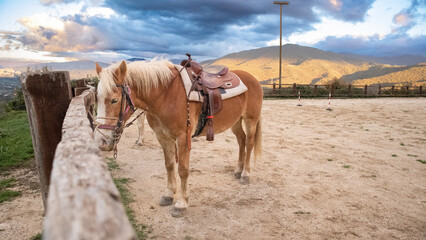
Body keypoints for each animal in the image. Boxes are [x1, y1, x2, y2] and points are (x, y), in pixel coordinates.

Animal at [94, 58, 262, 218]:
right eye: (97, 98)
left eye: (114, 100)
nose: (102, 142)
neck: (166, 94)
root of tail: (253, 79)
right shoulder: (163, 137)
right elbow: (169, 165)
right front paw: (169, 195)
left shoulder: (182, 138)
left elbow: (183, 170)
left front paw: (181, 204)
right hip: (236, 121)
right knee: (241, 141)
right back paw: (238, 170)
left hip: (250, 120)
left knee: (249, 143)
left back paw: (245, 174)